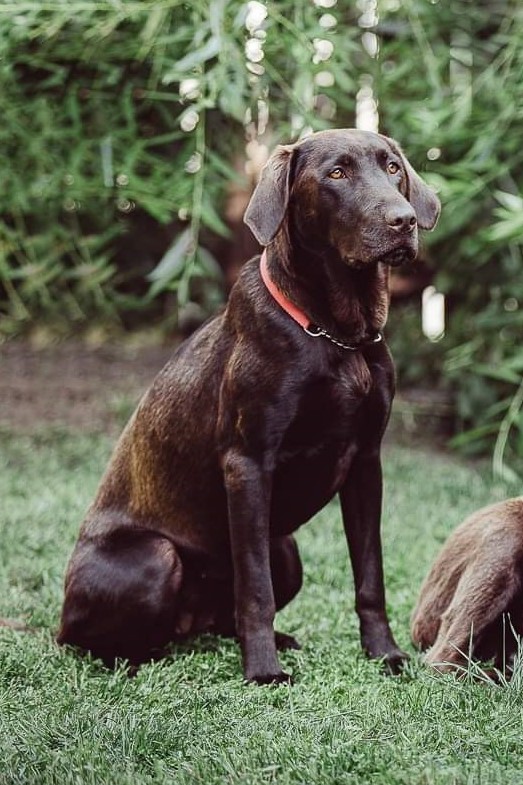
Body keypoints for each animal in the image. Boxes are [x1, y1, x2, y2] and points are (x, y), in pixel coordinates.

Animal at [57, 127, 440, 680]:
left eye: (393, 168)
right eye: (337, 173)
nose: (403, 220)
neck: (335, 333)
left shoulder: (367, 463)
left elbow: (370, 575)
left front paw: (383, 652)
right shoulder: (248, 463)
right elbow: (255, 588)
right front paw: (263, 671)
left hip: (287, 550)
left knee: (223, 619)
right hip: (155, 558)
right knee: (92, 641)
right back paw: (137, 662)